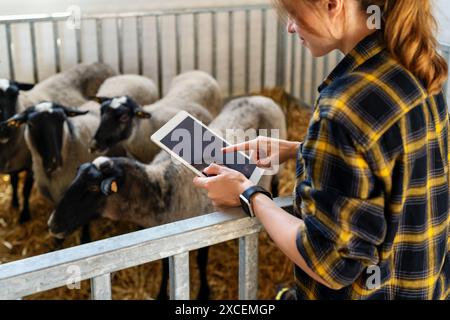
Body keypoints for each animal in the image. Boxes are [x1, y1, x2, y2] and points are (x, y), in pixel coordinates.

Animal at [0, 62, 116, 222]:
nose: (4, 129)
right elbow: (14, 181)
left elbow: (25, 189)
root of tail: (102, 63)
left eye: (14, 94)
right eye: (31, 125)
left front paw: (24, 215)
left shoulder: (29, 165)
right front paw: (14, 204)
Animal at [47, 95, 286, 300]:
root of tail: (260, 96)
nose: (52, 224)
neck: (163, 187)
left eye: (93, 188)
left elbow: (201, 261)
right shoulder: (165, 236)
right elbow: (165, 265)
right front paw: (162, 293)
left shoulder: (205, 227)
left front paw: (204, 292)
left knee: (275, 181)